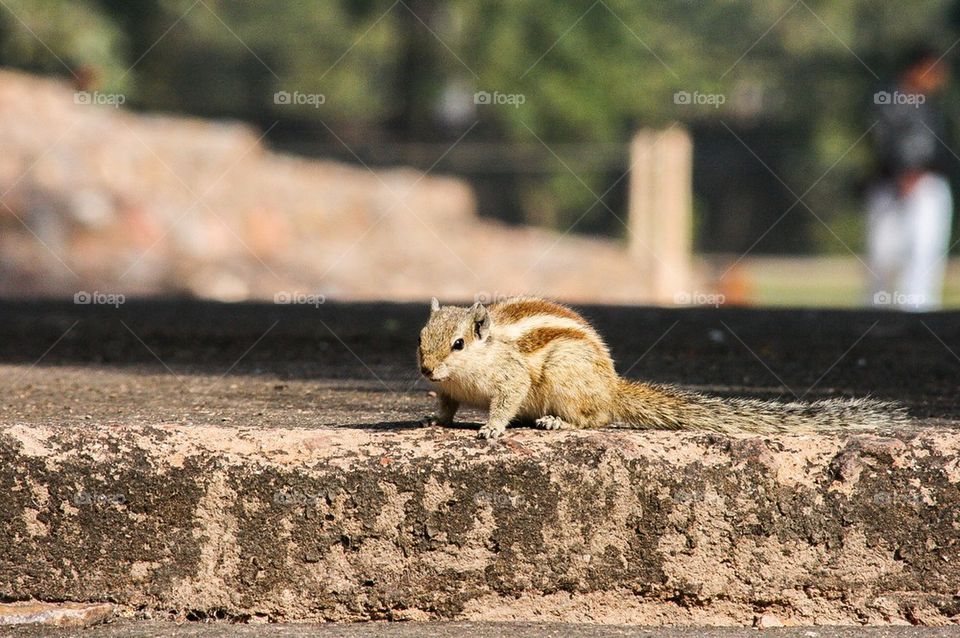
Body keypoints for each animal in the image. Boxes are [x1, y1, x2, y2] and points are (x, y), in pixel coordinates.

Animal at [417, 296, 907, 439]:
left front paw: (492, 428)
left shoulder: (510, 377)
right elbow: (446, 404)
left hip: (565, 376)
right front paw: (434, 419)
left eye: (458, 344)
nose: (425, 371)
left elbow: (506, 400)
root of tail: (612, 386)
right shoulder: (450, 389)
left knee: (597, 418)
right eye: (420, 339)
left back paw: (558, 423)